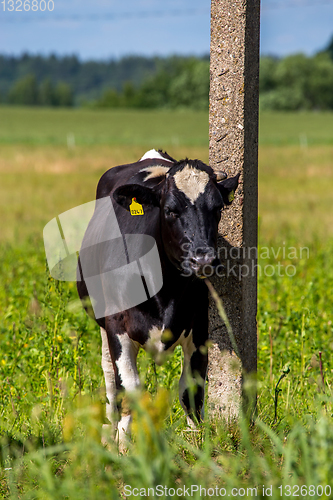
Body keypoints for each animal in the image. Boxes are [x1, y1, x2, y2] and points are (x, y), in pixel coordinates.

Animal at [77, 147, 239, 446]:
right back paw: (110, 429)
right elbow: (128, 386)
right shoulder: (116, 324)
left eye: (218, 209)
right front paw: (124, 445)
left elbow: (190, 390)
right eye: (170, 210)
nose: (203, 259)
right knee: (109, 376)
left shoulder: (200, 326)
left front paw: (196, 441)